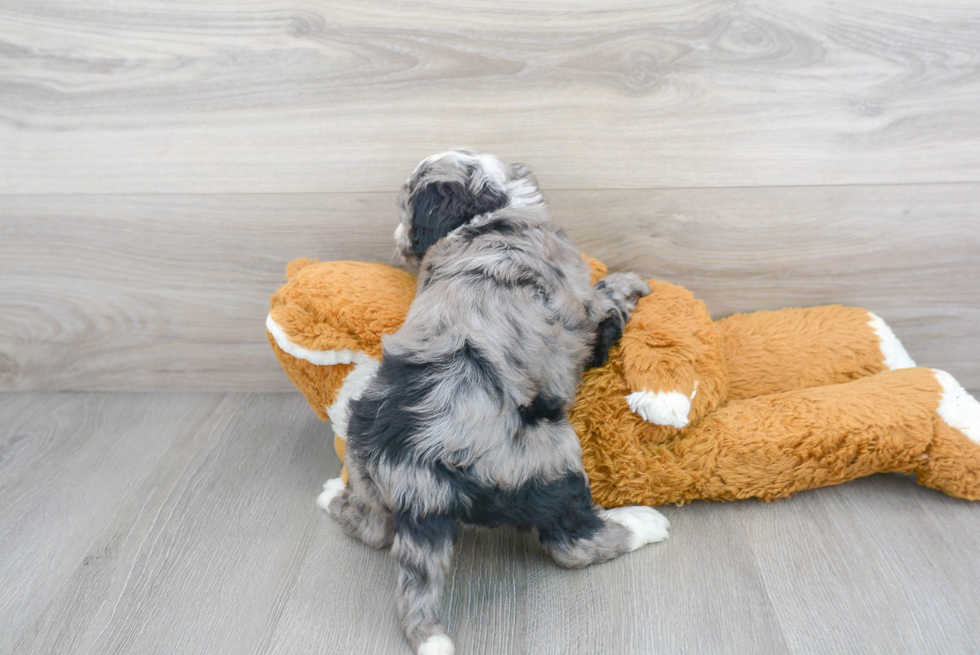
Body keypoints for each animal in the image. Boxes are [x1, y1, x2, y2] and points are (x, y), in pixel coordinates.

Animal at [326, 150, 668, 655]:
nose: (397, 240)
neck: (492, 210)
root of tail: (413, 473)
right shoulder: (585, 311)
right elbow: (608, 300)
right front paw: (631, 282)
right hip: (549, 461)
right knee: (573, 542)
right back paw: (642, 524)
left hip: (365, 465)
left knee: (372, 528)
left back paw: (332, 494)